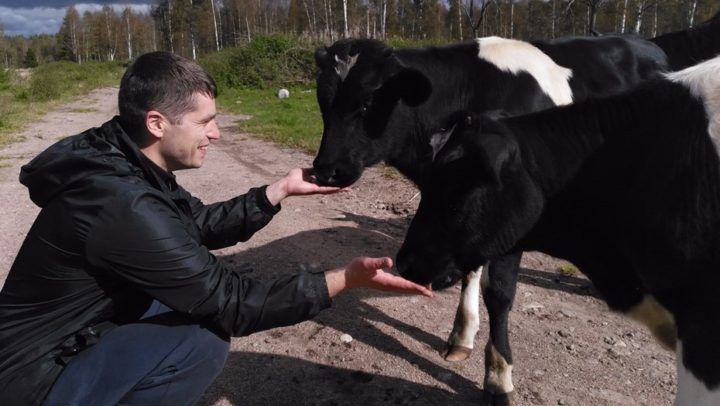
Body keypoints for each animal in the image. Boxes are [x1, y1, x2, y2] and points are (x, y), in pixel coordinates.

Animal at [312, 33, 668, 402]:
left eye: (367, 102)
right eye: (322, 101)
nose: (325, 170)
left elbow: (498, 292)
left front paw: (498, 377)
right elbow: (469, 270)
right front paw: (461, 337)